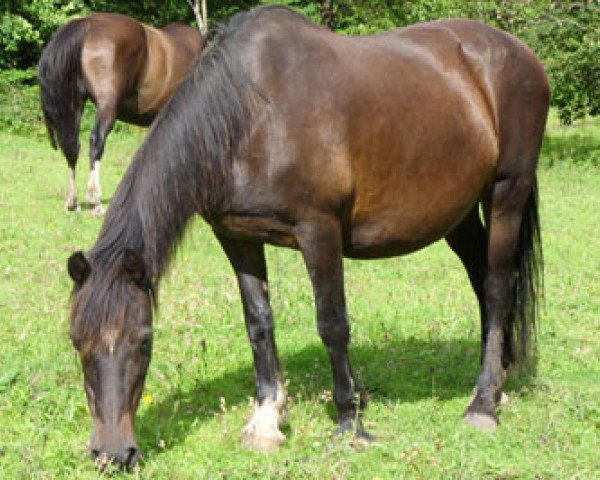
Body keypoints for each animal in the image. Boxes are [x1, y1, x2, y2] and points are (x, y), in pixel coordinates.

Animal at [40, 12, 204, 215]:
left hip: (75, 106)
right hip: (107, 107)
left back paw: (73, 202)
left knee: (72, 145)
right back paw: (95, 200)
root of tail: (88, 23)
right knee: (96, 141)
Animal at [65, 6, 548, 468]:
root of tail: (522, 56)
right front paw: (266, 420)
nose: (113, 454)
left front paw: (351, 421)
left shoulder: (319, 231)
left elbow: (332, 324)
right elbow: (259, 323)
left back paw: (483, 404)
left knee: (498, 287)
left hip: (506, 193)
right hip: (457, 215)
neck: (252, 114)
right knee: (481, 281)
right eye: (75, 341)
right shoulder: (236, 237)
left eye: (144, 340)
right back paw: (500, 380)